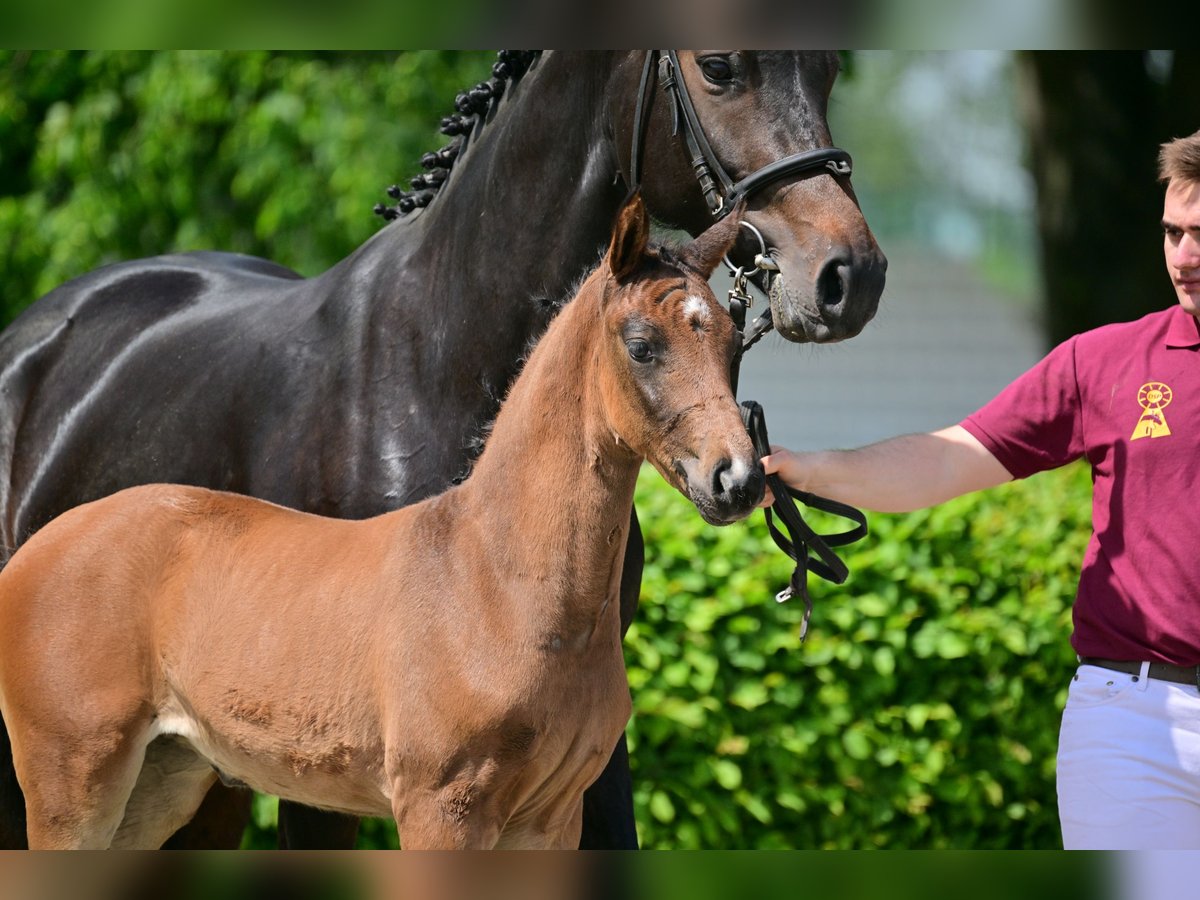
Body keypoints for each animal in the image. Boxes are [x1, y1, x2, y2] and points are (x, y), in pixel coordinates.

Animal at [0, 49, 883, 854]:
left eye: (733, 343)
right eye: (720, 68)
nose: (850, 275)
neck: (493, 571)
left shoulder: (561, 806)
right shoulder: (428, 806)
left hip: (174, 785)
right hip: (74, 788)